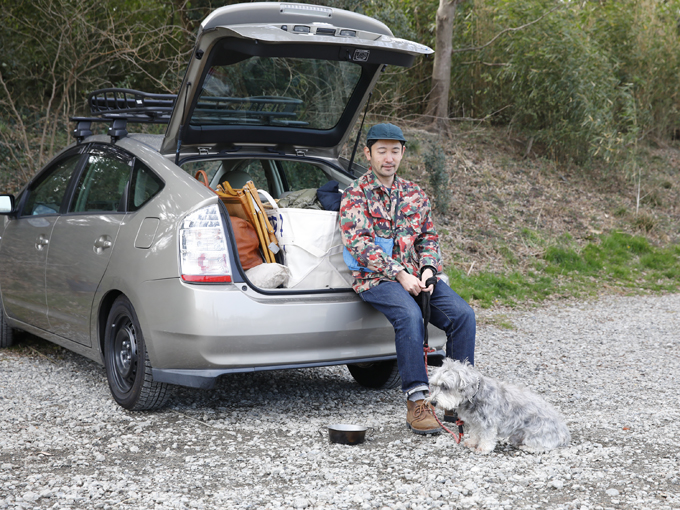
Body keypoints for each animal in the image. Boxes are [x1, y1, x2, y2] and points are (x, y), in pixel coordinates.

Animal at [430, 358, 568, 454]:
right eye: (434, 385)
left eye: (445, 386)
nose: (432, 402)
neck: (475, 395)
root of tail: (564, 432)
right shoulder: (475, 423)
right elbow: (475, 434)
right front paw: (472, 442)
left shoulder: (488, 423)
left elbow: (487, 437)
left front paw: (483, 448)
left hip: (534, 436)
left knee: (545, 446)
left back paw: (529, 448)